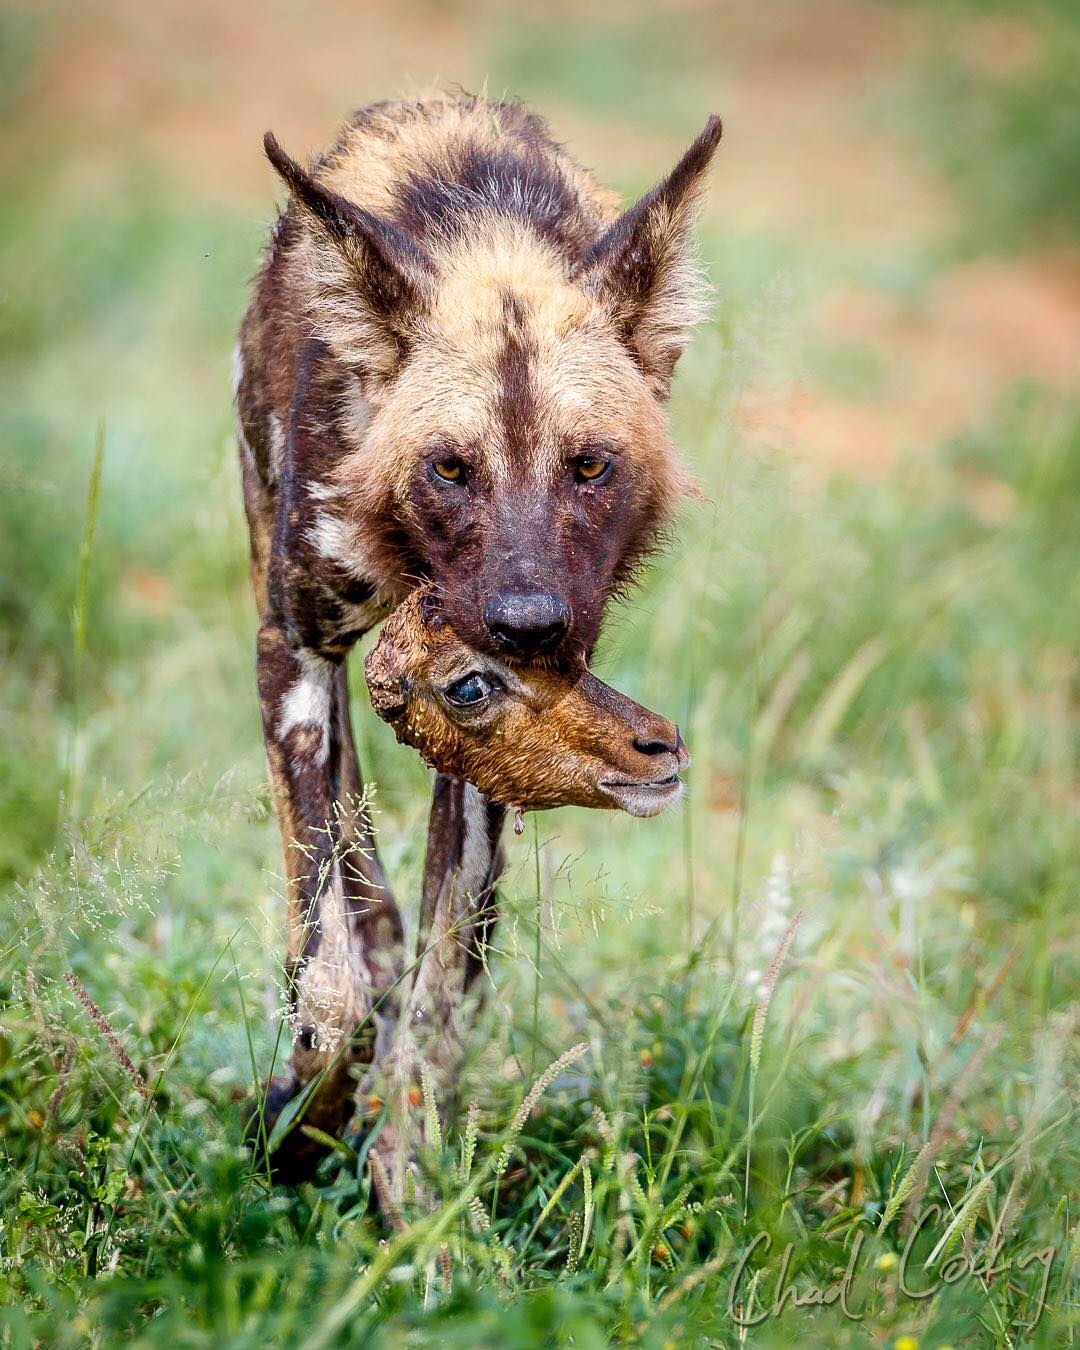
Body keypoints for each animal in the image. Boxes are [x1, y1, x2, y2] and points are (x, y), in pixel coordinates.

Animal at [233, 95, 723, 1171]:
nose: (529, 625)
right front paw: (307, 1115)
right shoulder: (299, 654)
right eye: (450, 468)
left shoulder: (496, 728)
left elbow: (445, 994)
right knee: (355, 897)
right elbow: (329, 980)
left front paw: (406, 1178)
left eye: (591, 465)